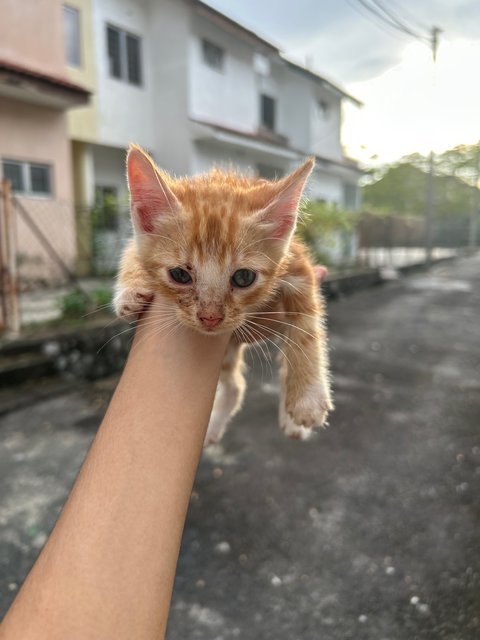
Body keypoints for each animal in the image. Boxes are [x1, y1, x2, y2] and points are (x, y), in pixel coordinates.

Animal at [115, 145, 334, 444]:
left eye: (244, 278)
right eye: (179, 275)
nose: (210, 318)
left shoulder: (299, 265)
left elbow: (306, 331)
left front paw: (307, 400)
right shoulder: (139, 242)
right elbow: (131, 252)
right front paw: (129, 292)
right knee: (235, 387)